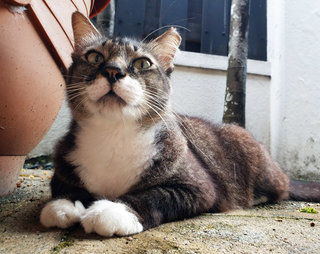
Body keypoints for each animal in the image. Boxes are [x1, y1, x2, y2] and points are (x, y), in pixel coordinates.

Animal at [40, 11, 320, 237]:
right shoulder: (64, 161)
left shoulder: (200, 186)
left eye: (143, 63)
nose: (112, 71)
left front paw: (113, 210)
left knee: (280, 188)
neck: (114, 134)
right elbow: (62, 185)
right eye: (95, 57)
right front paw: (64, 206)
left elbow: (157, 195)